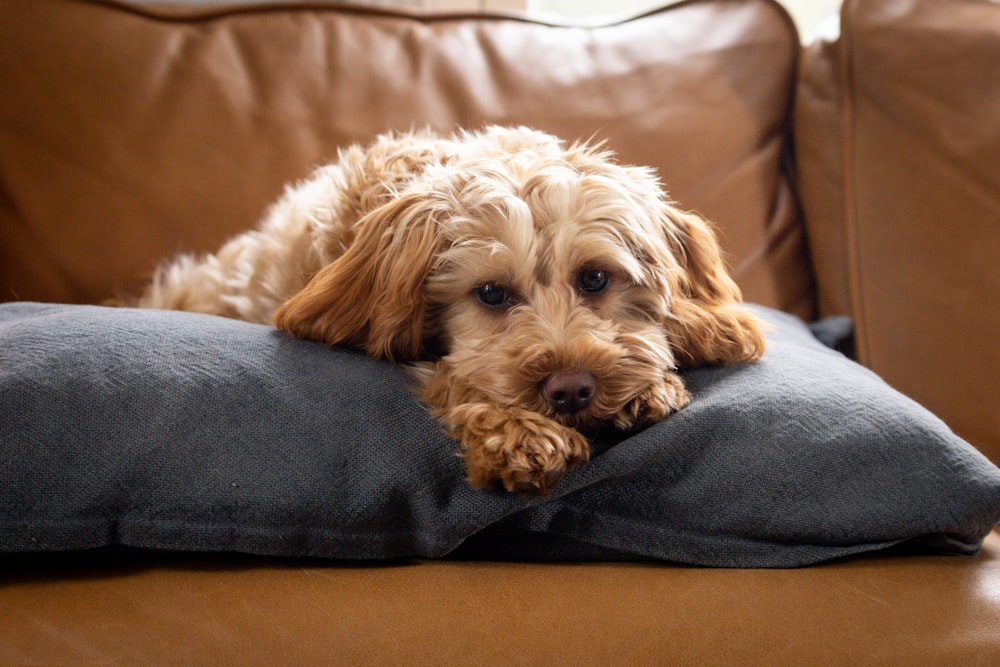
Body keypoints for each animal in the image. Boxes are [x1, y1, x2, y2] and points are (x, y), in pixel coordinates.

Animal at [139, 128, 764, 498]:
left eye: (594, 278)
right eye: (490, 294)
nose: (570, 390)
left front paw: (663, 369)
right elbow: (454, 374)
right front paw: (514, 434)